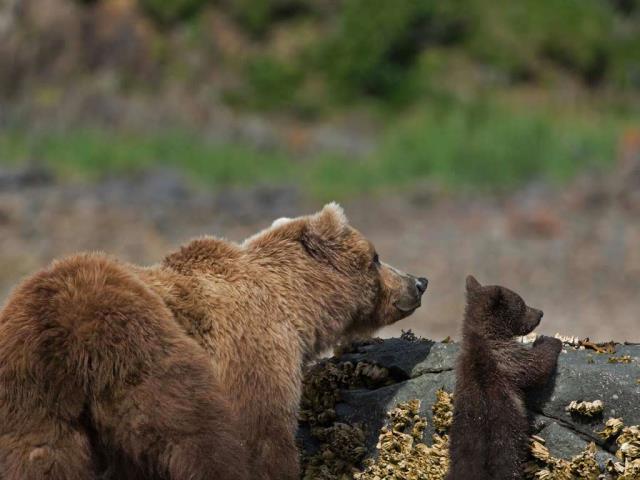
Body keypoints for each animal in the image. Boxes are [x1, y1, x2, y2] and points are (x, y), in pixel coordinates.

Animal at [0, 203, 428, 480]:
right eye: (376, 256)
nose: (419, 282)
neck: (296, 308)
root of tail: (62, 330)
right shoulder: (252, 348)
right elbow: (263, 437)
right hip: (142, 350)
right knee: (196, 440)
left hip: (29, 394)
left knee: (37, 457)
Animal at [446, 275, 562, 480]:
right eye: (522, 304)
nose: (540, 313)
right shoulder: (506, 357)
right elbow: (535, 367)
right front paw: (550, 340)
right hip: (506, 450)